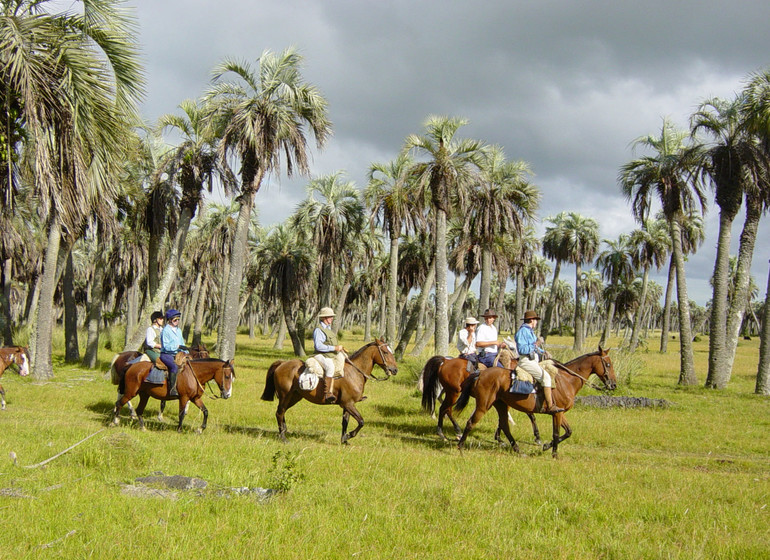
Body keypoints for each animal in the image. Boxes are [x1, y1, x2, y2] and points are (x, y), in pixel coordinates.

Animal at [262, 340, 400, 444]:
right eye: (385, 352)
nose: (394, 370)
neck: (355, 372)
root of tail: (282, 363)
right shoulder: (348, 404)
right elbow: (361, 421)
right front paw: (349, 435)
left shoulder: (348, 405)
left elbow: (345, 422)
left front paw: (344, 440)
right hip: (285, 396)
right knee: (279, 413)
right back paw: (283, 438)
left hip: (294, 397)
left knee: (282, 412)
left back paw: (284, 431)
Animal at [452, 346, 616, 460]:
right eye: (608, 364)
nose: (613, 385)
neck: (566, 380)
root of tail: (480, 373)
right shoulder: (557, 414)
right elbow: (556, 433)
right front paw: (554, 454)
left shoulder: (560, 412)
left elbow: (568, 432)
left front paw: (547, 446)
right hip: (483, 405)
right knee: (471, 422)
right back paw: (460, 447)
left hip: (501, 405)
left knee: (504, 425)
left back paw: (518, 450)